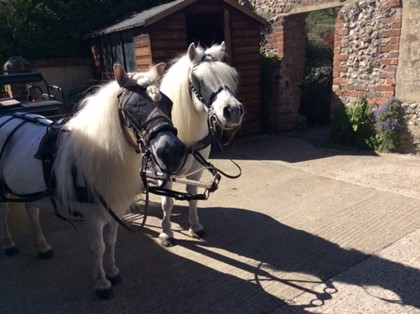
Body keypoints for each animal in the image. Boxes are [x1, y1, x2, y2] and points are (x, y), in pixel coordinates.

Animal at [0, 63, 187, 296]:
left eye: (168, 103)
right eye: (132, 107)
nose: (172, 152)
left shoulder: (114, 209)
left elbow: (111, 241)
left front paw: (113, 271)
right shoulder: (92, 217)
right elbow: (98, 247)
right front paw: (101, 283)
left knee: (32, 212)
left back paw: (42, 246)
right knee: (4, 214)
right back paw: (8, 244)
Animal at [158, 42, 244, 248]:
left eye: (231, 75)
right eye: (197, 79)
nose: (233, 111)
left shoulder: (196, 170)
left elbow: (192, 197)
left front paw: (195, 227)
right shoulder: (163, 173)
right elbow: (167, 202)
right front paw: (166, 233)